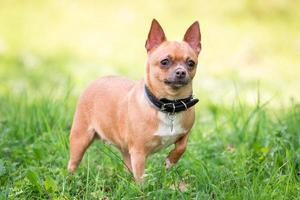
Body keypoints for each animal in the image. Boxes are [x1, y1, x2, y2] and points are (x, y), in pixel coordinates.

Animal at [68, 19, 202, 183]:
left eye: (191, 63)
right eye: (164, 62)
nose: (181, 72)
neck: (170, 104)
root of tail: (97, 80)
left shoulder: (184, 133)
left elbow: (182, 147)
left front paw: (170, 161)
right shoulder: (138, 153)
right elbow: (140, 176)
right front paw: (142, 187)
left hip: (125, 149)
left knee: (127, 165)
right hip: (80, 139)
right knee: (73, 162)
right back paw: (70, 180)